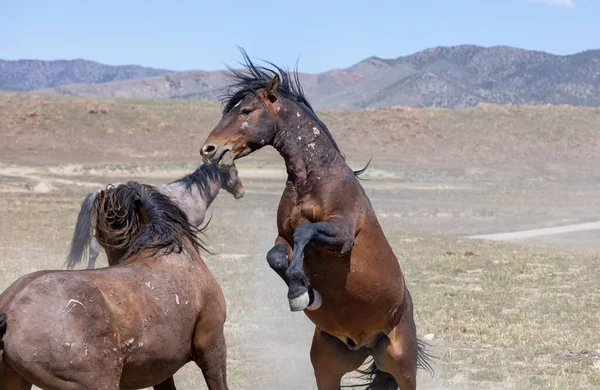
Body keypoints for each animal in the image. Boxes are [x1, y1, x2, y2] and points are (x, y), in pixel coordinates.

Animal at [202, 51, 432, 390]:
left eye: (245, 110)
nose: (209, 148)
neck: (314, 178)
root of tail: (365, 344)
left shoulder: (342, 236)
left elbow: (305, 233)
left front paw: (300, 291)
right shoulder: (282, 236)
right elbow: (276, 255)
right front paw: (304, 293)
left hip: (402, 365)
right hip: (328, 367)